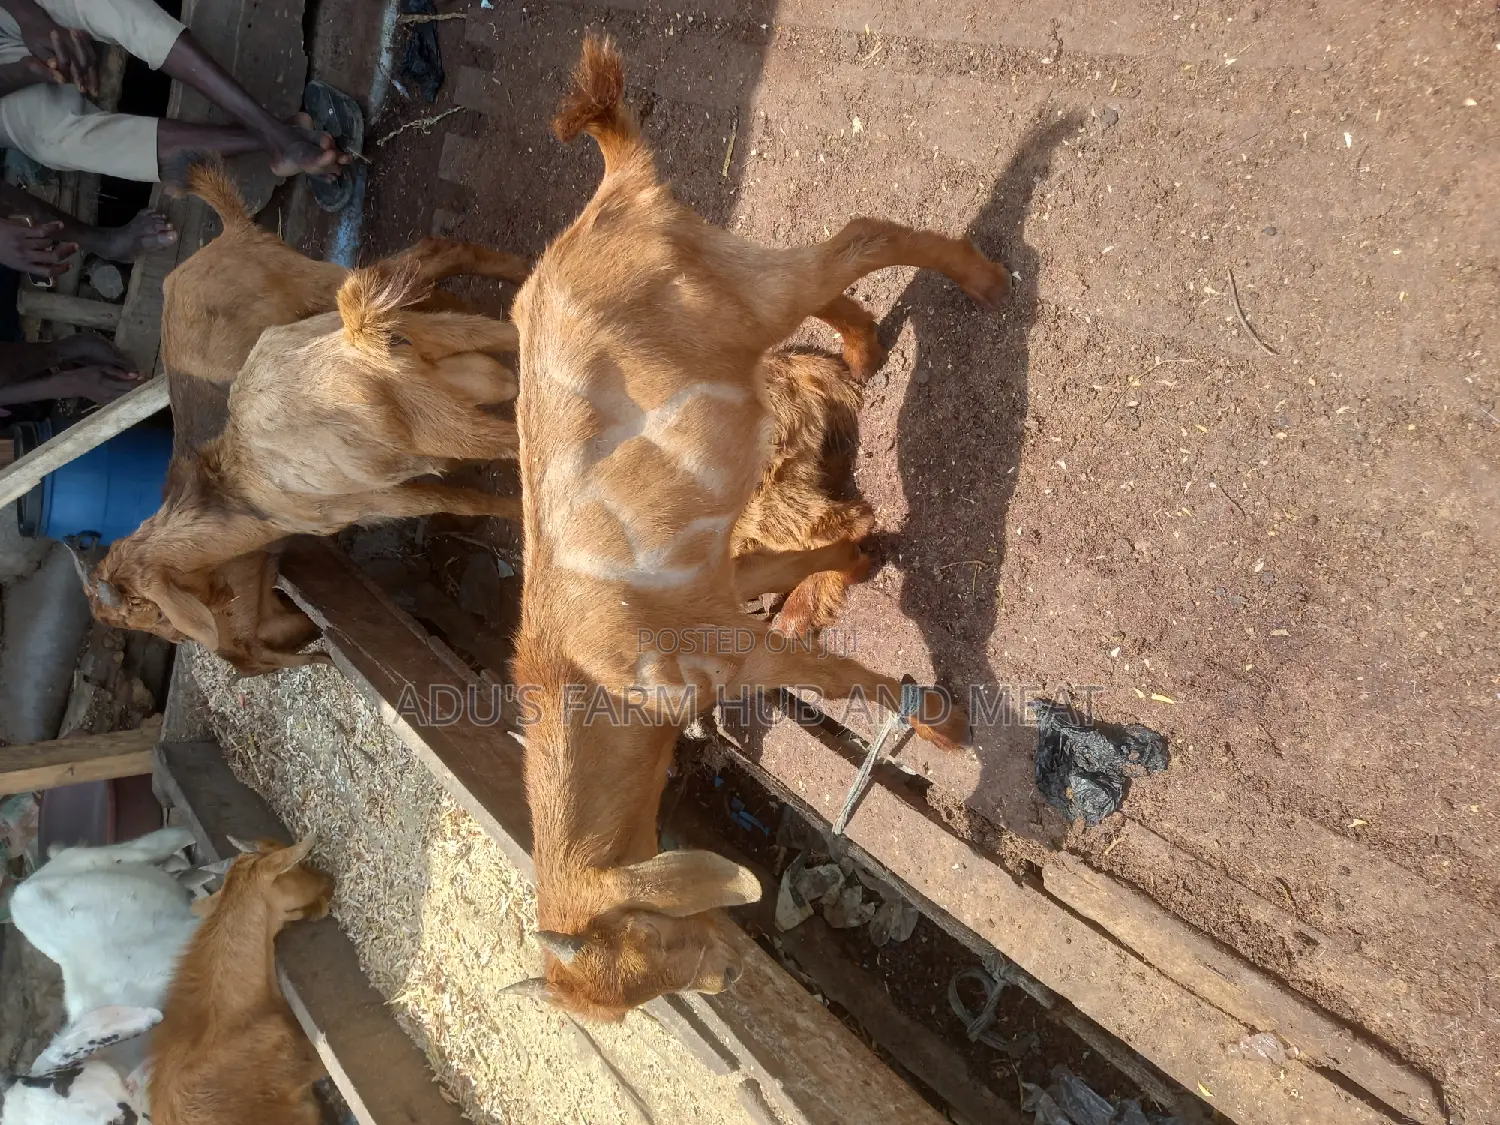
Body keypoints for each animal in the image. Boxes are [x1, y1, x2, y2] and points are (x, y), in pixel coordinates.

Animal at [503, 37, 1008, 1019]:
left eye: (652, 945)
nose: (728, 976)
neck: (589, 675)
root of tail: (613, 187)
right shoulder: (721, 585)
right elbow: (783, 570)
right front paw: (859, 555)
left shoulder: (734, 650)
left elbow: (833, 675)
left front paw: (939, 724)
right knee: (836, 274)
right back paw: (863, 349)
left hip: (735, 291)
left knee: (856, 234)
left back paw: (982, 281)